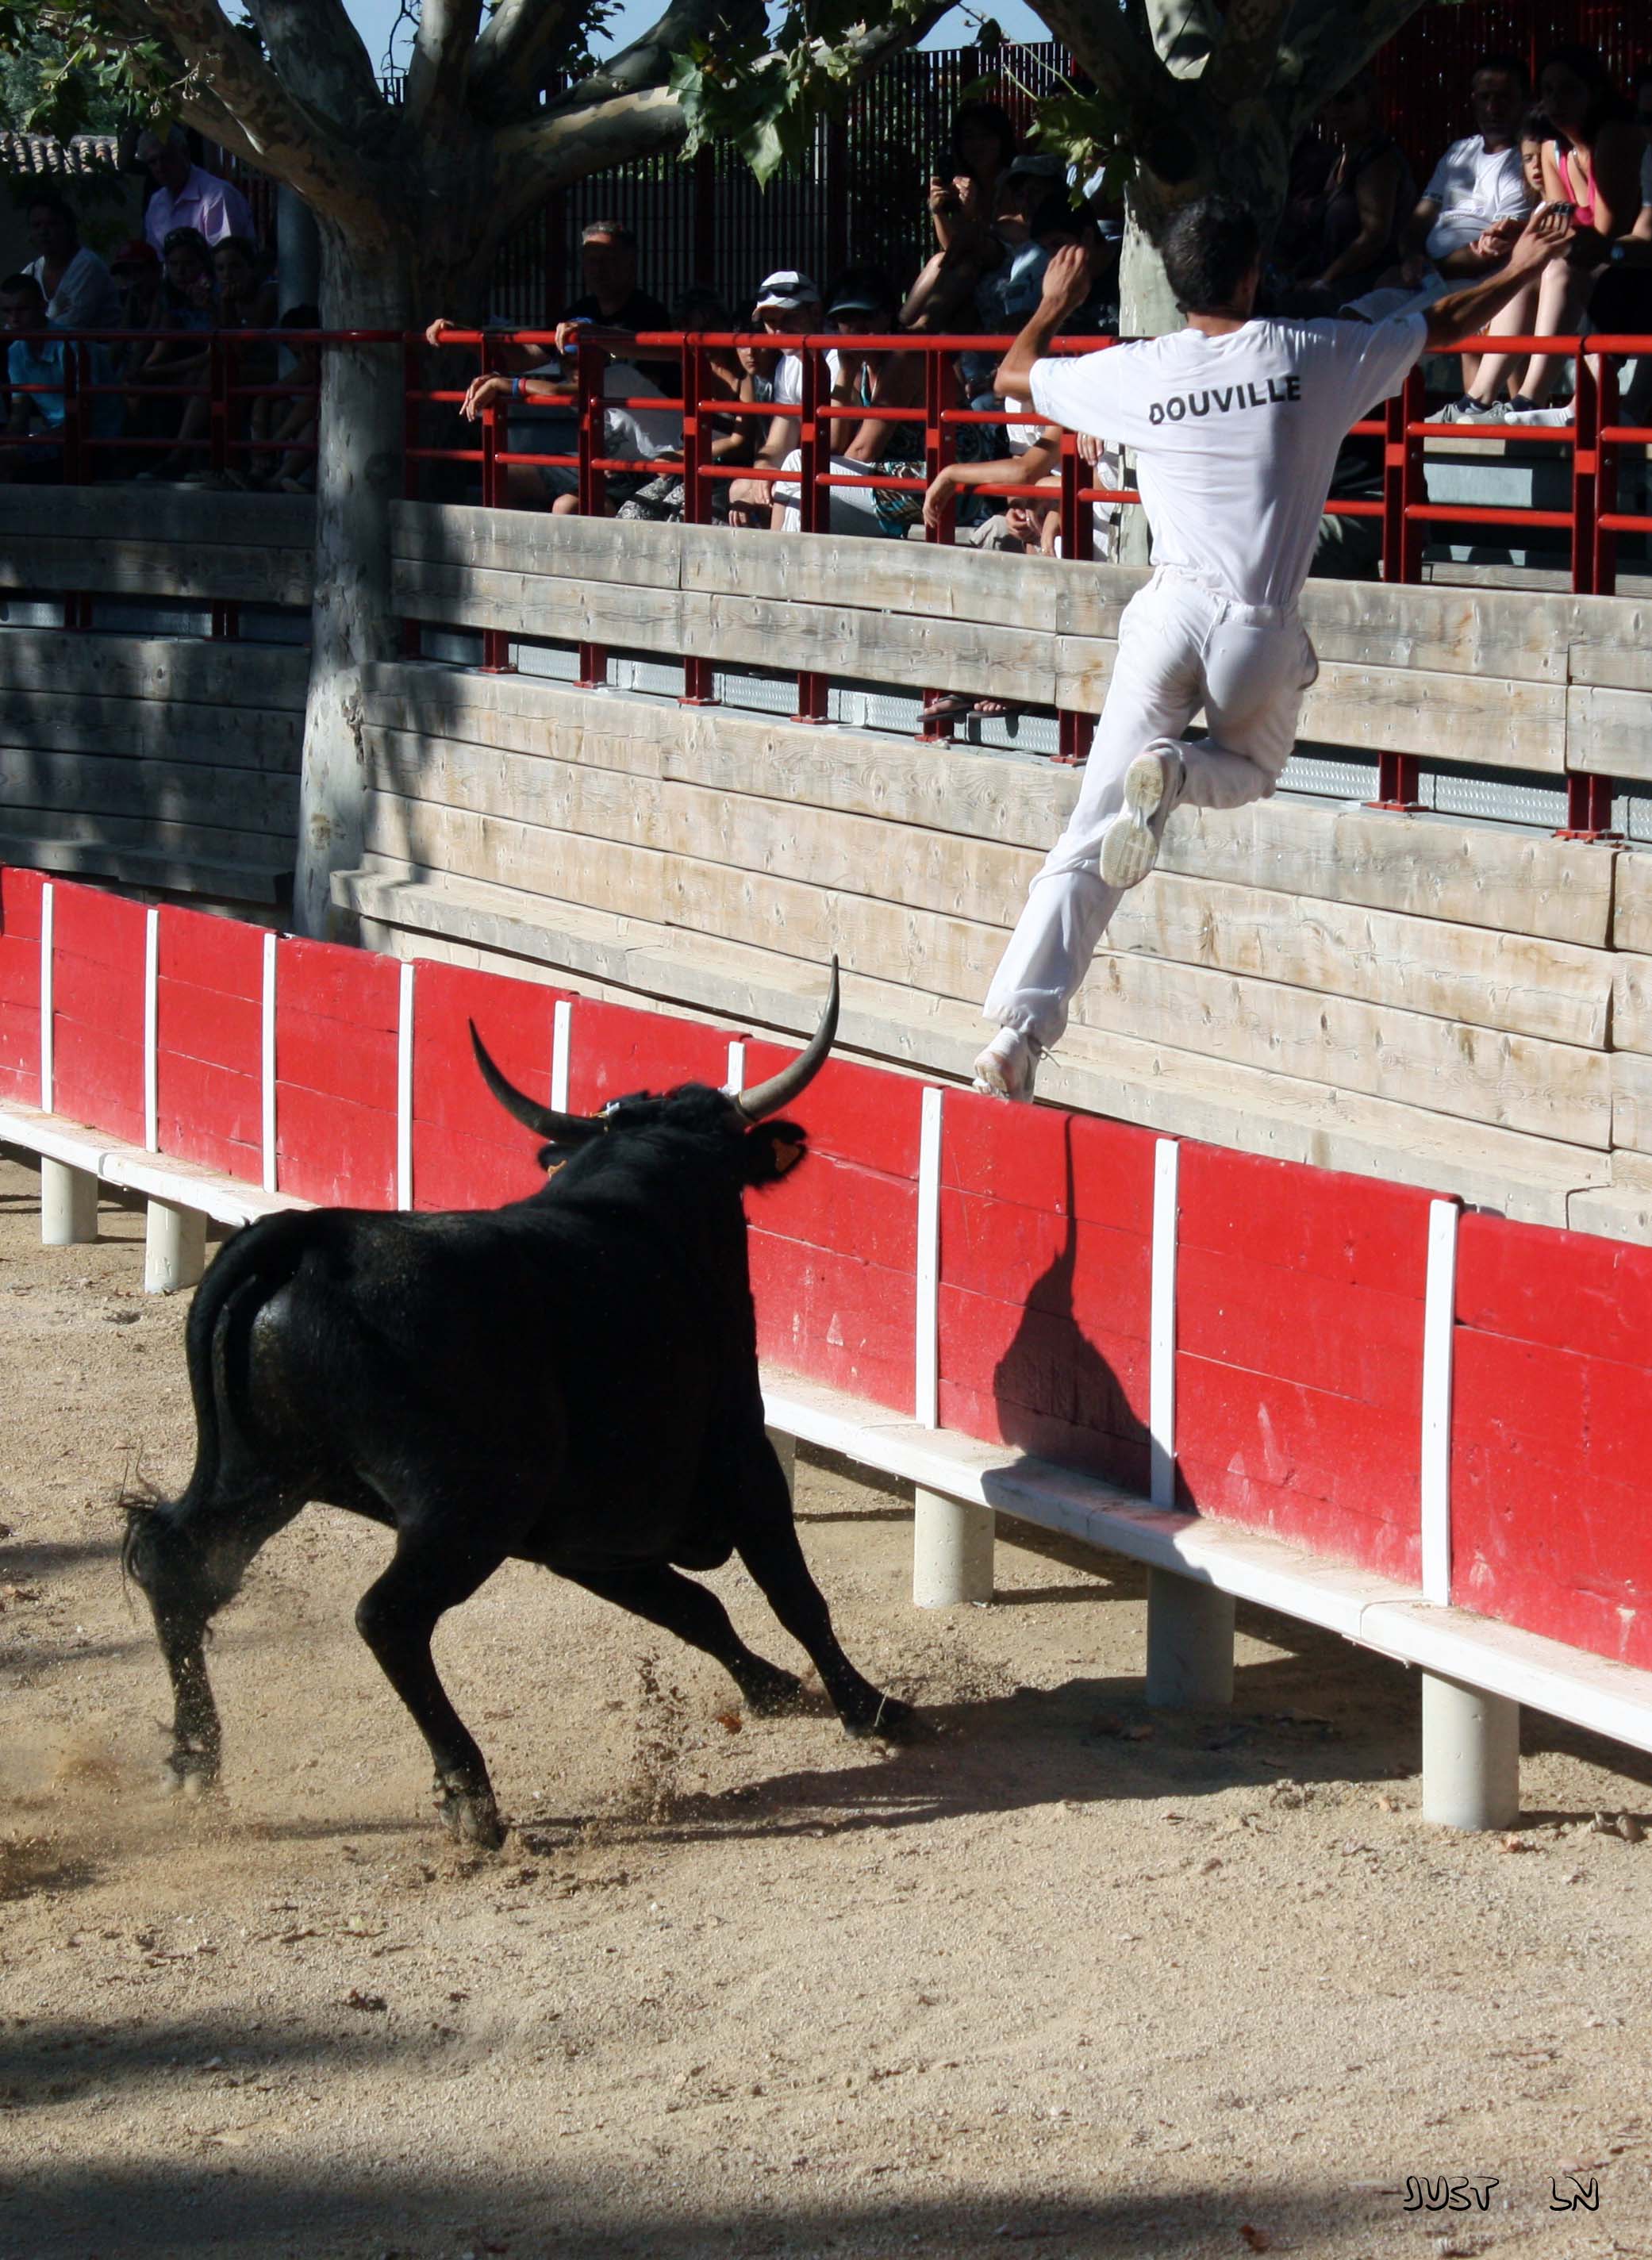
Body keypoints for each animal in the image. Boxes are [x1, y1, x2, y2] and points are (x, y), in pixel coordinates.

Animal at [122, 963, 922, 1843]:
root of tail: (308, 1240)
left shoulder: (584, 1541)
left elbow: (694, 1607)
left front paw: (775, 1688)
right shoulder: (743, 1463)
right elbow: (793, 1594)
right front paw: (874, 1708)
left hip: (262, 1476)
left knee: (179, 1564)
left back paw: (195, 1760)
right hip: (466, 1507)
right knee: (388, 1615)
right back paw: (471, 1797)